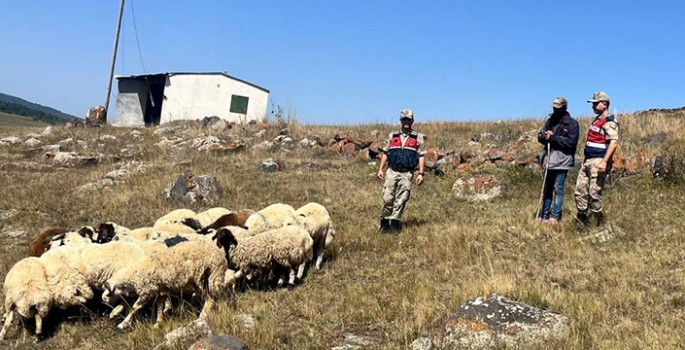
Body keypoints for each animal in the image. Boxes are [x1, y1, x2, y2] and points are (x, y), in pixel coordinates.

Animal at [103, 238, 232, 328]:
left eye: (108, 294)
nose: (106, 306)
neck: (134, 274)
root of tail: (220, 256)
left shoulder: (147, 290)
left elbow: (134, 307)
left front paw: (123, 324)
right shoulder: (161, 290)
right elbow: (160, 306)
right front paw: (158, 324)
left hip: (204, 277)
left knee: (210, 299)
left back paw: (202, 317)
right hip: (208, 278)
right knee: (217, 295)